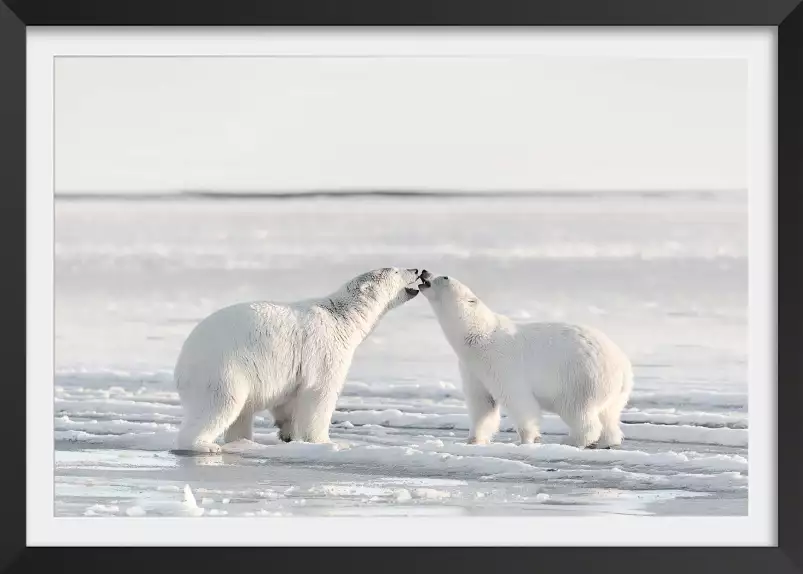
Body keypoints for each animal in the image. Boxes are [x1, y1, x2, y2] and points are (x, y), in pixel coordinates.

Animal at [174, 266, 420, 454]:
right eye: (395, 270)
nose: (417, 270)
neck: (342, 318)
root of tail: (182, 363)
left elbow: (288, 400)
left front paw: (288, 433)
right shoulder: (325, 350)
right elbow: (320, 394)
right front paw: (327, 441)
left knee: (240, 414)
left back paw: (243, 441)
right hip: (223, 370)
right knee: (220, 405)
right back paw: (204, 445)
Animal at [414, 270, 636, 450]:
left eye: (445, 277)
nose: (424, 272)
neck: (479, 336)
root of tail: (624, 367)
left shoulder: (501, 363)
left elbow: (518, 401)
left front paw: (527, 440)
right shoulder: (473, 369)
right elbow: (482, 404)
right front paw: (473, 440)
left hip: (581, 378)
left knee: (579, 411)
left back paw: (573, 440)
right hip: (613, 390)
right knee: (609, 415)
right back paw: (606, 441)